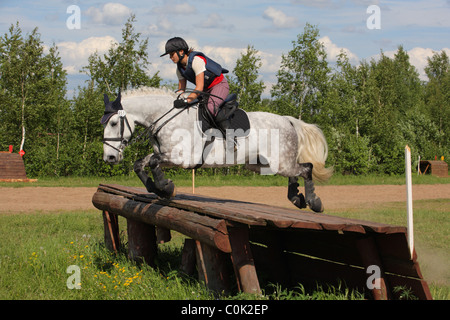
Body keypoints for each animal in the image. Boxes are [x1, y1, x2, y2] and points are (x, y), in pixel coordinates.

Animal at [103, 87, 334, 212]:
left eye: (114, 123)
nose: (110, 157)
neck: (165, 118)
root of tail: (288, 120)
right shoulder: (164, 153)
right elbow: (140, 163)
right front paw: (156, 188)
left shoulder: (181, 158)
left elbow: (152, 162)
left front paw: (166, 188)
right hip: (263, 164)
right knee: (296, 172)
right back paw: (296, 198)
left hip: (279, 163)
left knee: (306, 168)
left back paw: (314, 202)